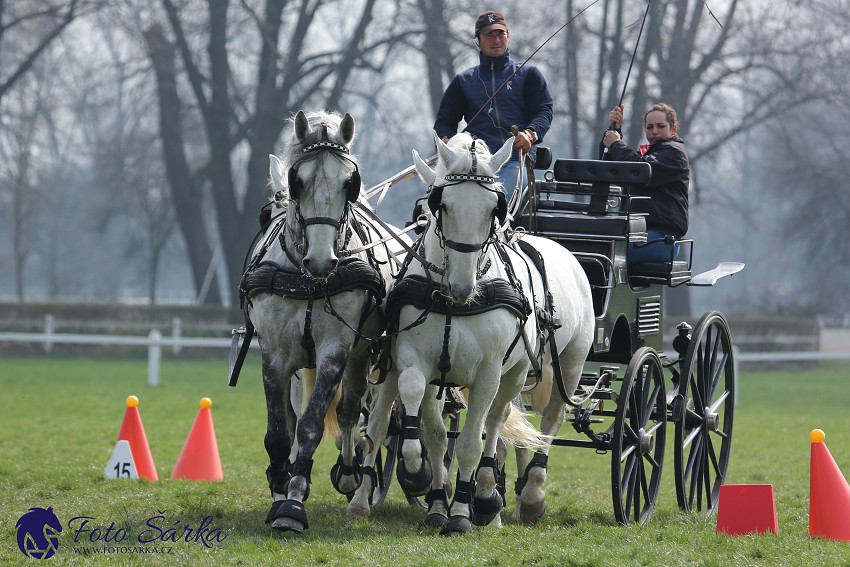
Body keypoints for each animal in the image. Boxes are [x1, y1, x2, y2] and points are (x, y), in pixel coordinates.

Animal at [242, 108, 404, 536]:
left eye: (350, 183)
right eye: (296, 181)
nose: (320, 260)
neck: (306, 278)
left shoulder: (336, 349)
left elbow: (313, 424)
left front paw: (294, 503)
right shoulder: (275, 353)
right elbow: (280, 431)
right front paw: (279, 489)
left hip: (361, 354)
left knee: (350, 411)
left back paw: (350, 475)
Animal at [362, 134, 592, 536]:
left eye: (492, 209)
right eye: (442, 205)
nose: (461, 286)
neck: (456, 304)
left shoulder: (488, 372)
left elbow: (472, 441)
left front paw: (460, 515)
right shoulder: (419, 362)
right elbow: (432, 432)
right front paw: (427, 488)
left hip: (555, 366)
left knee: (532, 420)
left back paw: (514, 496)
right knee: (501, 424)